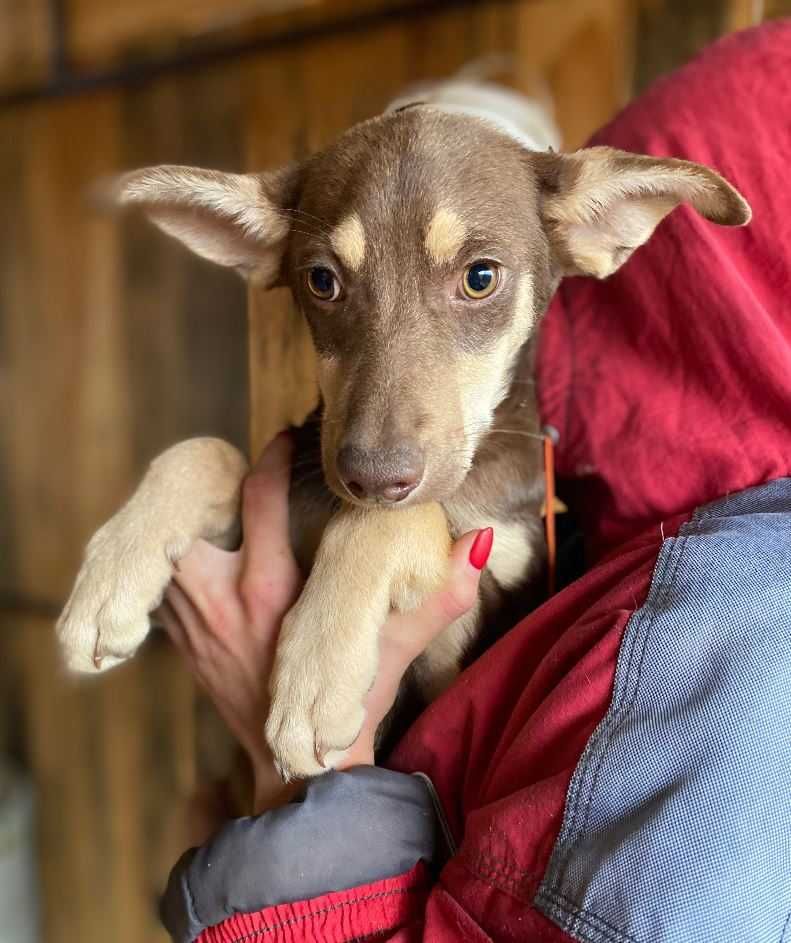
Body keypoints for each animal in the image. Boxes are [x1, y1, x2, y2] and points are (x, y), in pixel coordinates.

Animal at [55, 83, 748, 780]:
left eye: (480, 277)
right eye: (322, 281)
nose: (368, 475)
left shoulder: (460, 640)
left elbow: (401, 518)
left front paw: (317, 675)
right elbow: (207, 450)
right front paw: (110, 578)